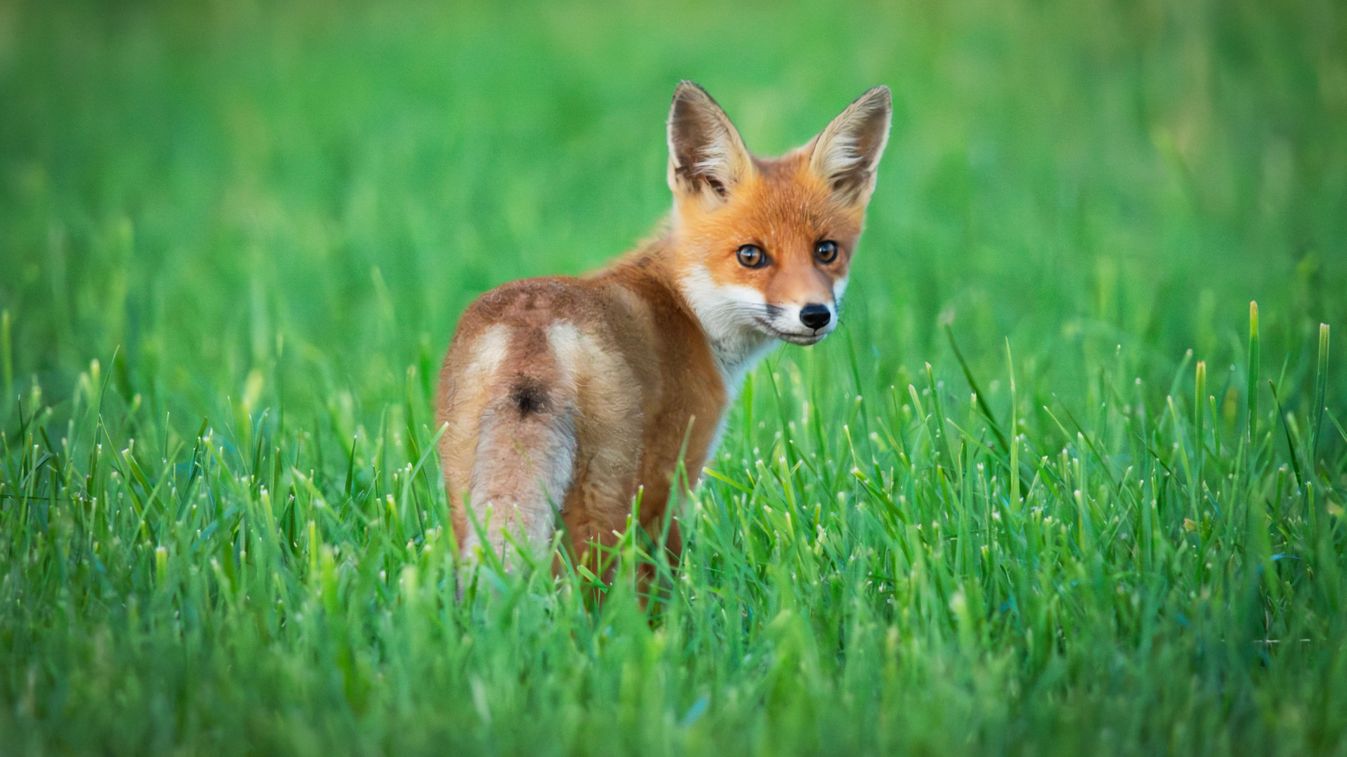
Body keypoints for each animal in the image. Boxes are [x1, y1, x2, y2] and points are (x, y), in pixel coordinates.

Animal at [436, 81, 889, 571]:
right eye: (751, 255)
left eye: (826, 251)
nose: (815, 314)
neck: (687, 307)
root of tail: (533, 326)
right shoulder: (671, 476)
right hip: (607, 495)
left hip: (464, 490)